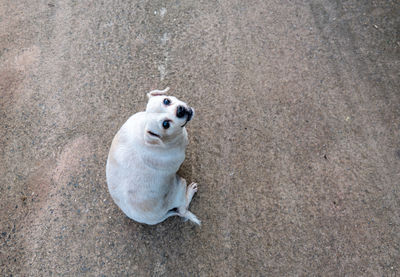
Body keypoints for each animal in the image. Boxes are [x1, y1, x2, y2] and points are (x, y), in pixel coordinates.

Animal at [105, 87, 200, 224]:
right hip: (180, 185)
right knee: (182, 210)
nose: (180, 110)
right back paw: (191, 191)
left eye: (166, 101)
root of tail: (158, 218)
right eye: (165, 124)